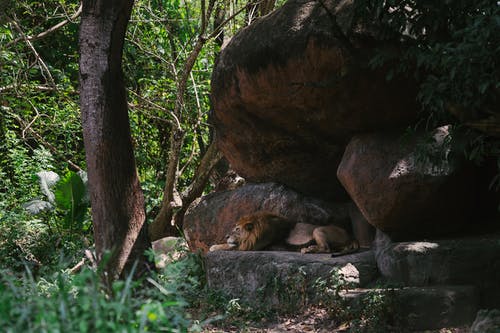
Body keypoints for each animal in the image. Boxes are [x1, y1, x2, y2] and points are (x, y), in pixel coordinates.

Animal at [208, 211, 360, 255]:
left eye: (237, 229)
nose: (226, 236)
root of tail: (351, 236)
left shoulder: (253, 246)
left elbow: (228, 246)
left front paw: (214, 246)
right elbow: (229, 245)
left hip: (318, 229)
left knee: (326, 249)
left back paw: (308, 249)